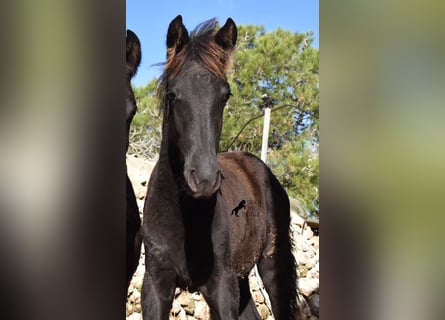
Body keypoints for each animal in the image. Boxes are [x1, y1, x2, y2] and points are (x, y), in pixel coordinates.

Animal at [140, 16, 296, 318]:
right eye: (173, 95)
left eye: (225, 95)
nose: (204, 179)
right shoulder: (155, 284)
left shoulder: (221, 287)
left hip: (272, 265)